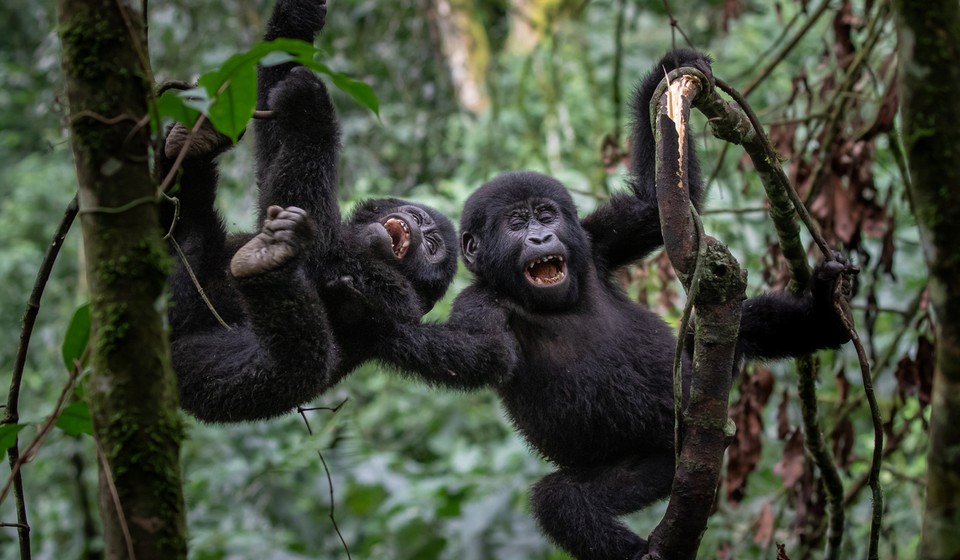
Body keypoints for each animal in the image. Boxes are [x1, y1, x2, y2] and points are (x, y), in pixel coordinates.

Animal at [376, 49, 856, 560]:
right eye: (516, 223)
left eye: (546, 215)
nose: (540, 237)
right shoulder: (480, 302)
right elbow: (479, 354)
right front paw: (374, 321)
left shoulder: (596, 240)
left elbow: (652, 206)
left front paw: (667, 72)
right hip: (656, 464)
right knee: (563, 501)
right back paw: (641, 550)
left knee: (739, 327)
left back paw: (826, 316)